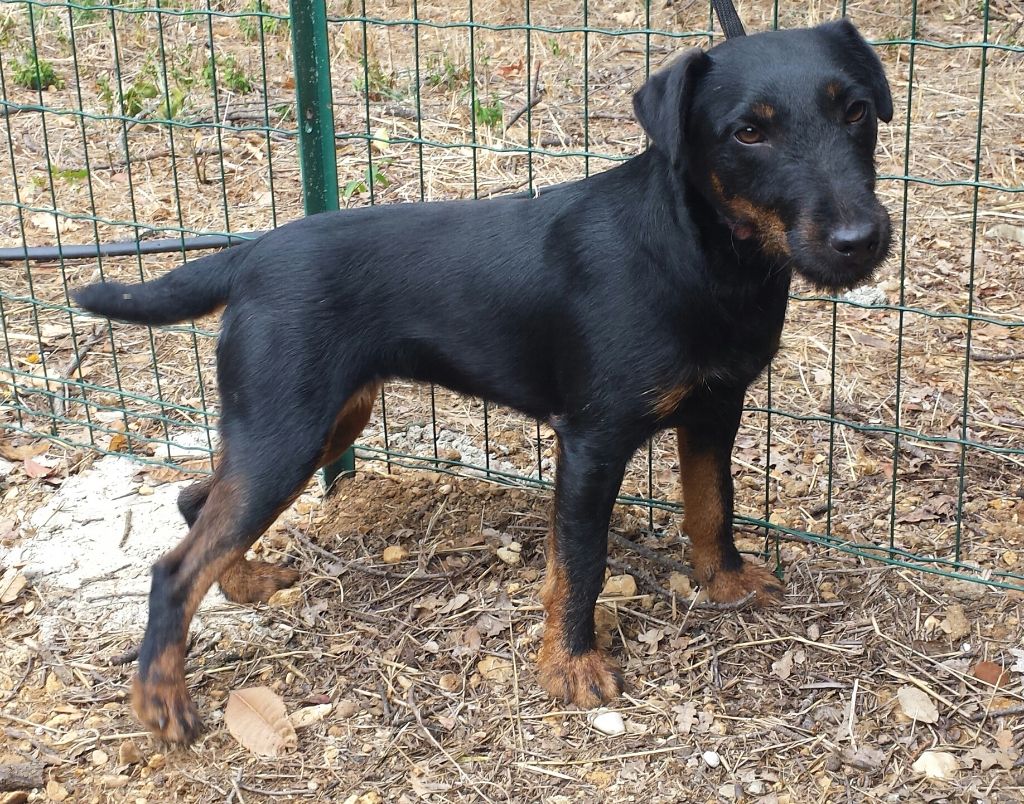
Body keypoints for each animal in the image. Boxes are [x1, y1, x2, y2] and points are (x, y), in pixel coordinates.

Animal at [75, 18, 892, 741]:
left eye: (856, 111)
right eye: (748, 133)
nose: (859, 241)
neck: (703, 256)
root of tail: (245, 256)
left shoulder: (715, 413)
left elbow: (712, 509)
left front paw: (722, 583)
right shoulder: (592, 443)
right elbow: (582, 565)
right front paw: (570, 667)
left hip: (321, 422)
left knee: (196, 503)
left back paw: (241, 584)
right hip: (288, 432)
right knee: (174, 567)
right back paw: (161, 700)